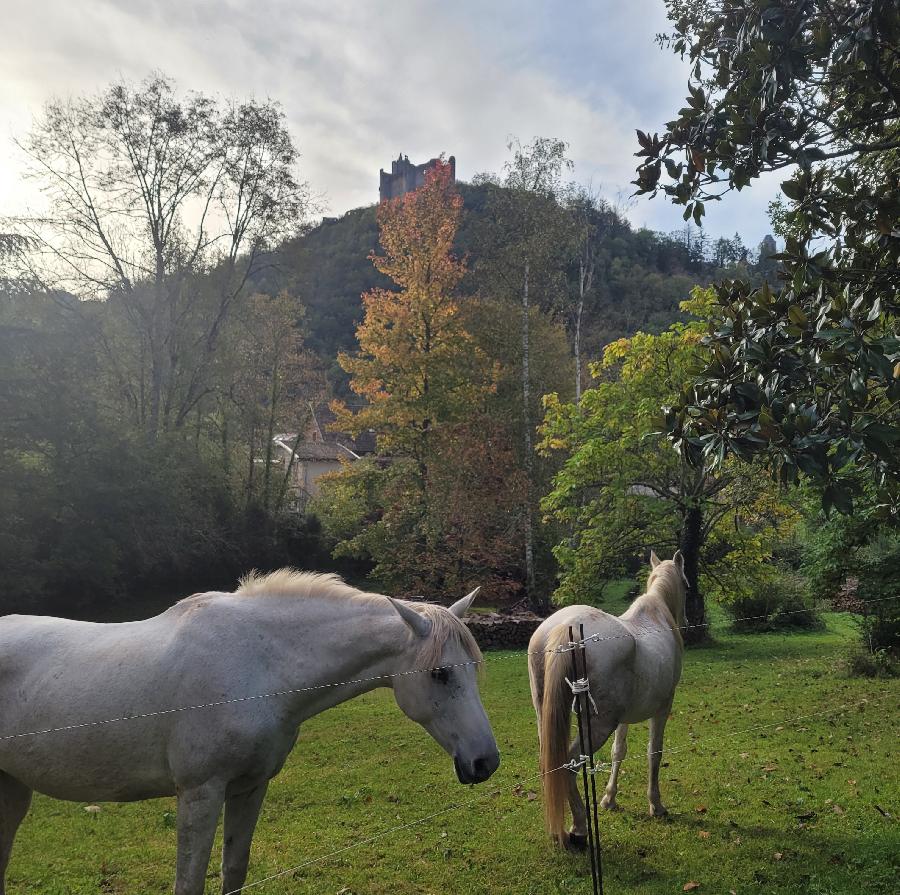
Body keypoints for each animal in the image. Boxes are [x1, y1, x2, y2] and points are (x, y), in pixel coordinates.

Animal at [0, 572, 500, 892]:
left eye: (473, 668)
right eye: (439, 673)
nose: (485, 762)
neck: (256, 664)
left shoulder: (249, 787)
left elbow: (233, 871)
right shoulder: (200, 792)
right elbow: (189, 882)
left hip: (13, 789)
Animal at [528, 548, 684, 852]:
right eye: (686, 582)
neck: (658, 614)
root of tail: (567, 628)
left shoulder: (625, 719)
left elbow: (618, 752)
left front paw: (610, 799)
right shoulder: (662, 709)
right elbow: (654, 753)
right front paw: (656, 805)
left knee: (550, 765)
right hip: (599, 726)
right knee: (569, 764)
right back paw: (578, 829)